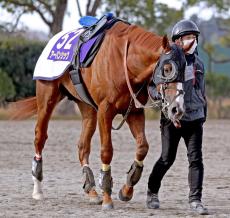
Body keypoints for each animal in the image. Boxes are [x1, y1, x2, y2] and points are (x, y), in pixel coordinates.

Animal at [11, 21, 186, 209]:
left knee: (82, 146)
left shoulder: (134, 112)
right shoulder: (105, 111)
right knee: (40, 137)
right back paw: (38, 190)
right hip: (47, 98)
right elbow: (106, 151)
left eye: (186, 70)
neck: (125, 62)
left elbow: (142, 147)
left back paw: (92, 191)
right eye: (167, 68)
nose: (177, 108)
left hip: (87, 108)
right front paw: (108, 196)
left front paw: (126, 189)